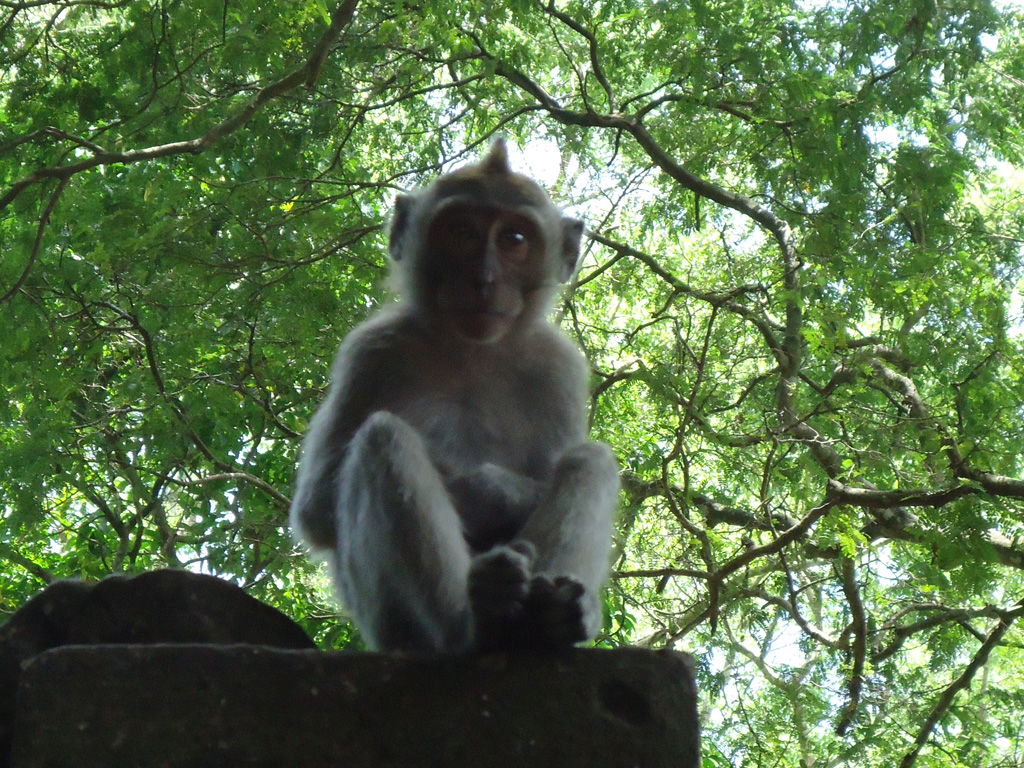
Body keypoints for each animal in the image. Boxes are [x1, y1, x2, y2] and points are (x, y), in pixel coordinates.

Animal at [292, 138, 618, 655]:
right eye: (461, 231)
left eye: (514, 240)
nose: (484, 280)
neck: (472, 352)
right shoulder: (370, 352)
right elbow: (318, 507)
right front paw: (472, 489)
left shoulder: (559, 366)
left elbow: (544, 477)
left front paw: (490, 490)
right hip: (388, 624)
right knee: (381, 437)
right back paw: (476, 619)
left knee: (592, 460)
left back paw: (550, 617)